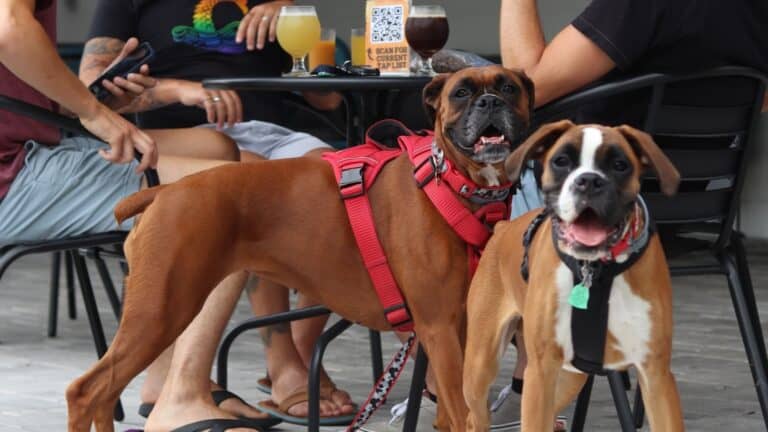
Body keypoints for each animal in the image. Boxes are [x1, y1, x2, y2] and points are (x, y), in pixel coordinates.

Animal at [64, 65, 536, 432]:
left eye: (509, 87)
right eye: (461, 93)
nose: (490, 101)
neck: (451, 184)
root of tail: (164, 191)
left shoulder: (458, 331)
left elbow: (449, 415)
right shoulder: (439, 330)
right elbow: (463, 414)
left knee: (104, 392)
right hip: (160, 312)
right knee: (87, 389)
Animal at [462, 120, 684, 432]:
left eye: (620, 165)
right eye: (561, 161)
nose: (589, 181)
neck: (596, 270)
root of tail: (503, 227)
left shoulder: (656, 376)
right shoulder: (540, 373)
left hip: (569, 378)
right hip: (481, 366)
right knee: (474, 417)